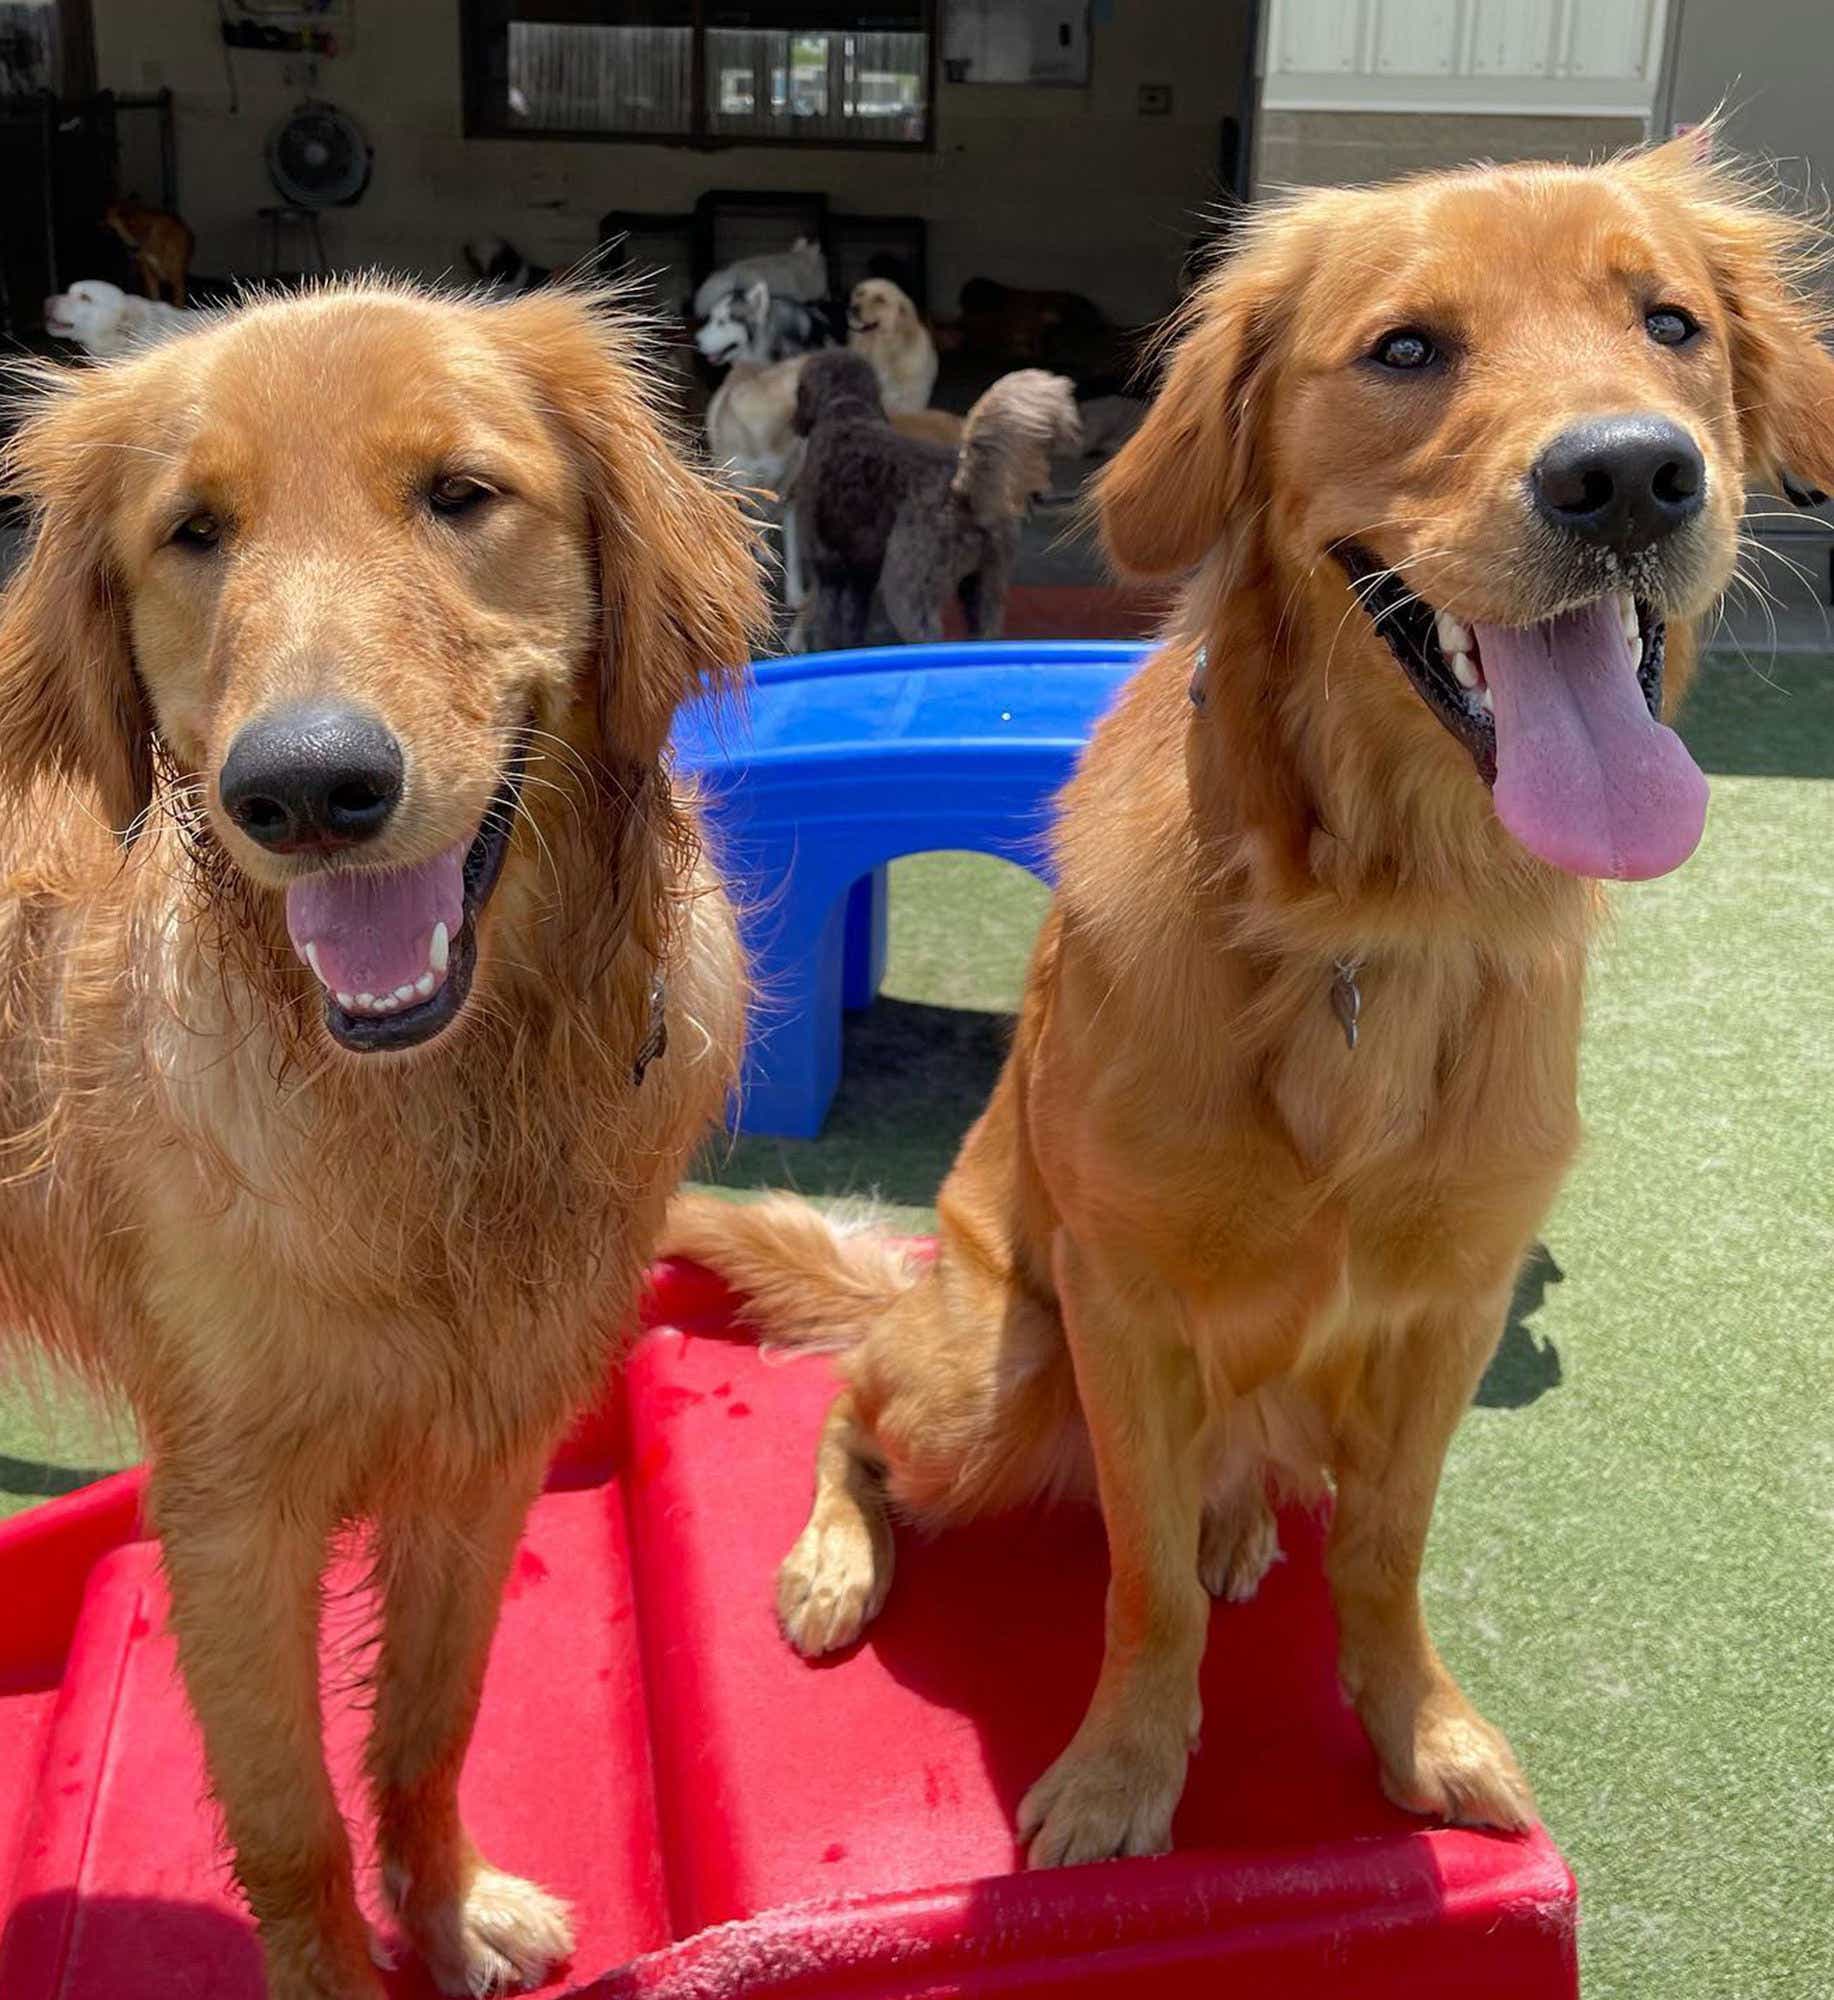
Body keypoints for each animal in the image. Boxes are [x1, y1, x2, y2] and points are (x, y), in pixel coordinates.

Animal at [788, 348, 1072, 644]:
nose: (793, 422)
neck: (847, 412)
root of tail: (964, 489)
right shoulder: (860, 574)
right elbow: (853, 626)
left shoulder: (828, 569)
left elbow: (826, 627)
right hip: (984, 588)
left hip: (910, 590)